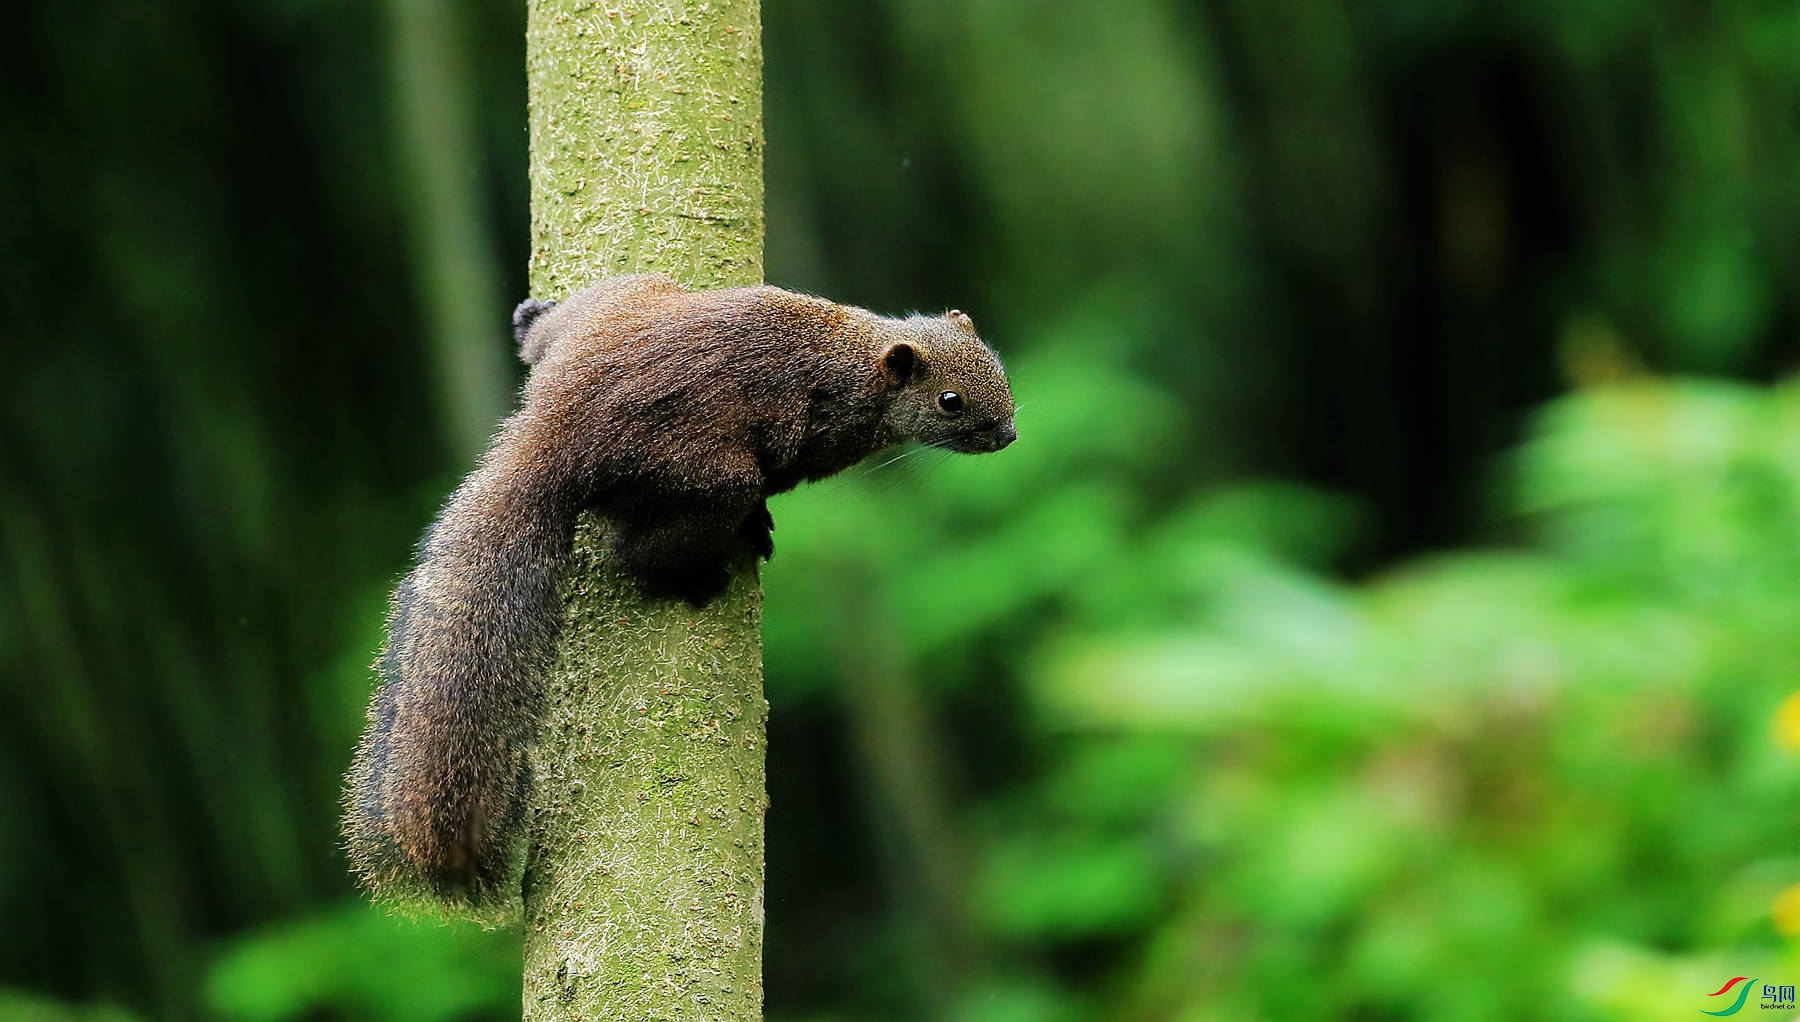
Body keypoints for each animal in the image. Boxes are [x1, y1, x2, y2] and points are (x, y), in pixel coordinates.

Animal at [338, 275, 1015, 906]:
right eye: (950, 401)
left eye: (998, 362)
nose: (1007, 434)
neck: (860, 362)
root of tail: (552, 431)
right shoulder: (814, 435)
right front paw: (760, 522)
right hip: (709, 477)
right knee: (636, 545)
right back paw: (690, 569)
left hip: (626, 299)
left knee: (547, 336)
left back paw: (534, 319)